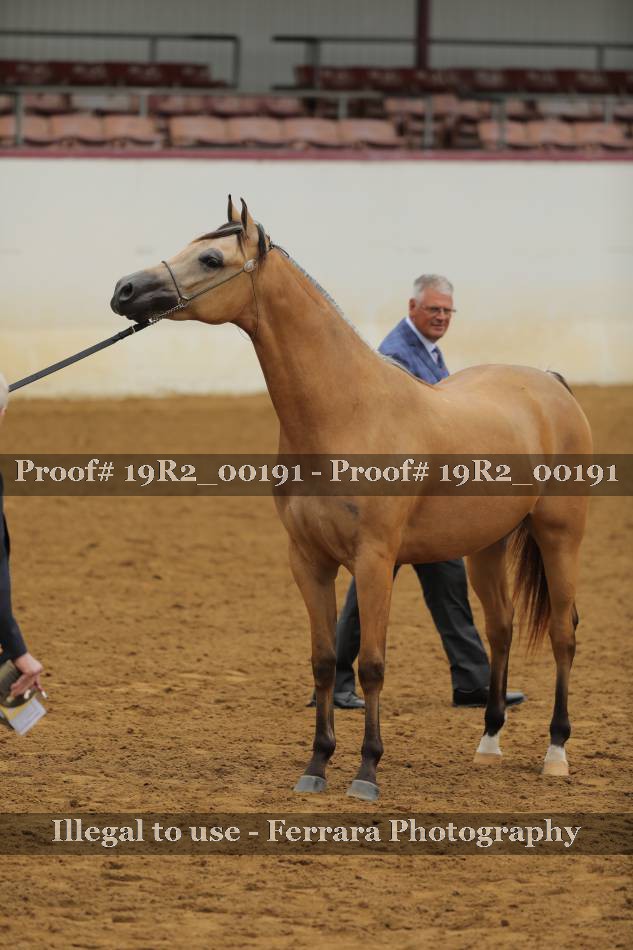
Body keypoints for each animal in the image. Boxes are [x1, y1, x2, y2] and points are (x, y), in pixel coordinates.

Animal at [111, 197, 592, 801]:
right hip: (487, 545)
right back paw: (488, 743)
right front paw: (316, 765)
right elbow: (323, 660)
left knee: (562, 633)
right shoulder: (309, 560)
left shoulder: (375, 560)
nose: (124, 289)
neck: (347, 413)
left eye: (212, 258)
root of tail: (551, 384)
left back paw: (556, 753)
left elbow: (372, 665)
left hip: (560, 535)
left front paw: (366, 772)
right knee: (500, 629)